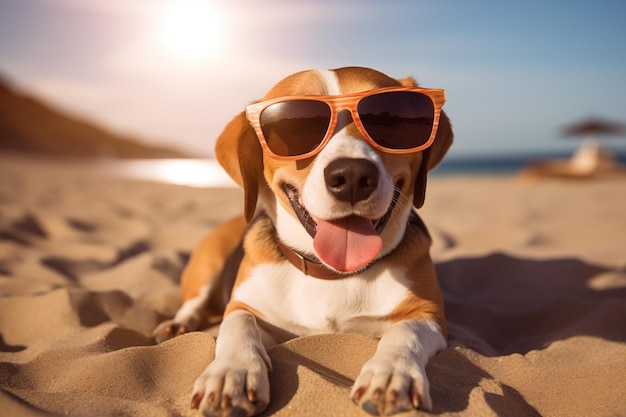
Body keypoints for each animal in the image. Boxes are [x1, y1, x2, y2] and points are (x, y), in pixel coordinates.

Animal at [154, 66, 450, 414]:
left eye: (392, 120)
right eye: (294, 126)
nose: (352, 176)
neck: (331, 273)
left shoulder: (429, 316)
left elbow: (406, 331)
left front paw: (391, 373)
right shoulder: (244, 306)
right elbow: (237, 325)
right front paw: (231, 374)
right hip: (206, 265)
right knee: (192, 304)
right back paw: (176, 326)